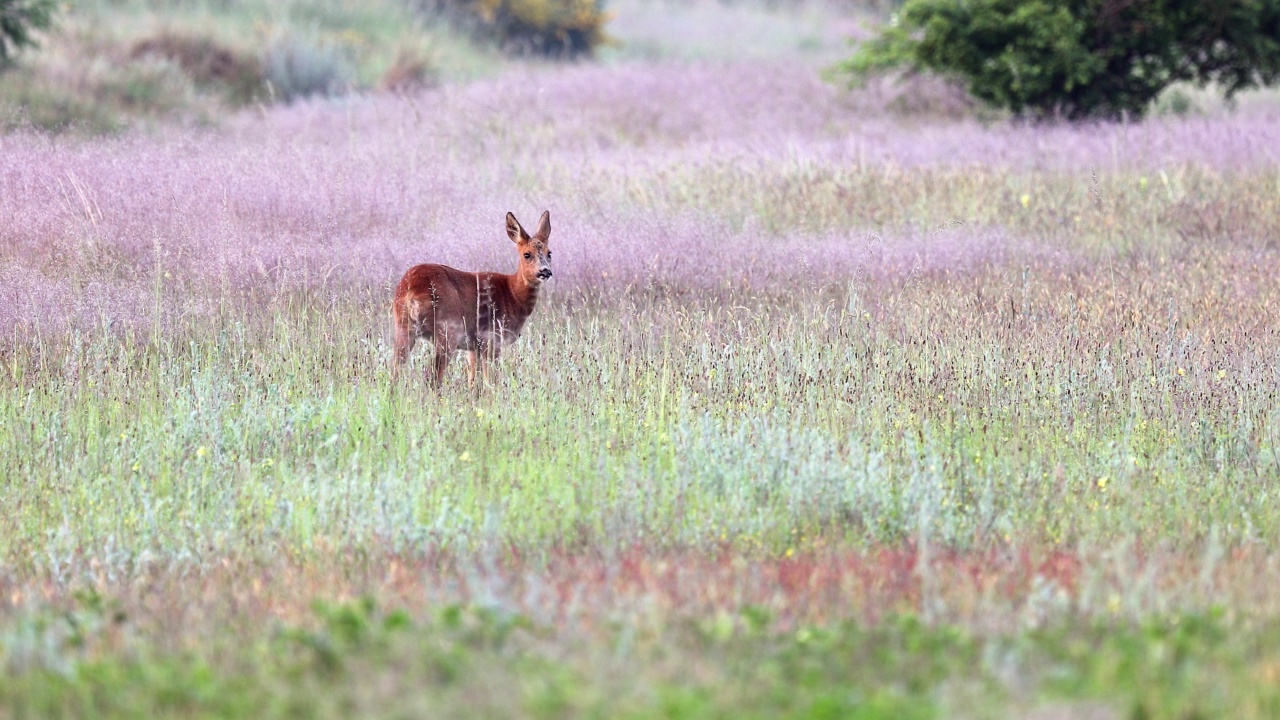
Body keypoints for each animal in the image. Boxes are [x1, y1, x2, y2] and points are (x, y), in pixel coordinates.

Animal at [389, 208, 550, 386]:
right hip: (448, 330)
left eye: (549, 253)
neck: (513, 294)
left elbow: (473, 381)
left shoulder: (473, 347)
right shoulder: (491, 338)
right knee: (433, 376)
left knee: (395, 371)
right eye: (527, 254)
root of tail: (412, 290)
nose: (545, 271)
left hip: (403, 326)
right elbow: (490, 381)